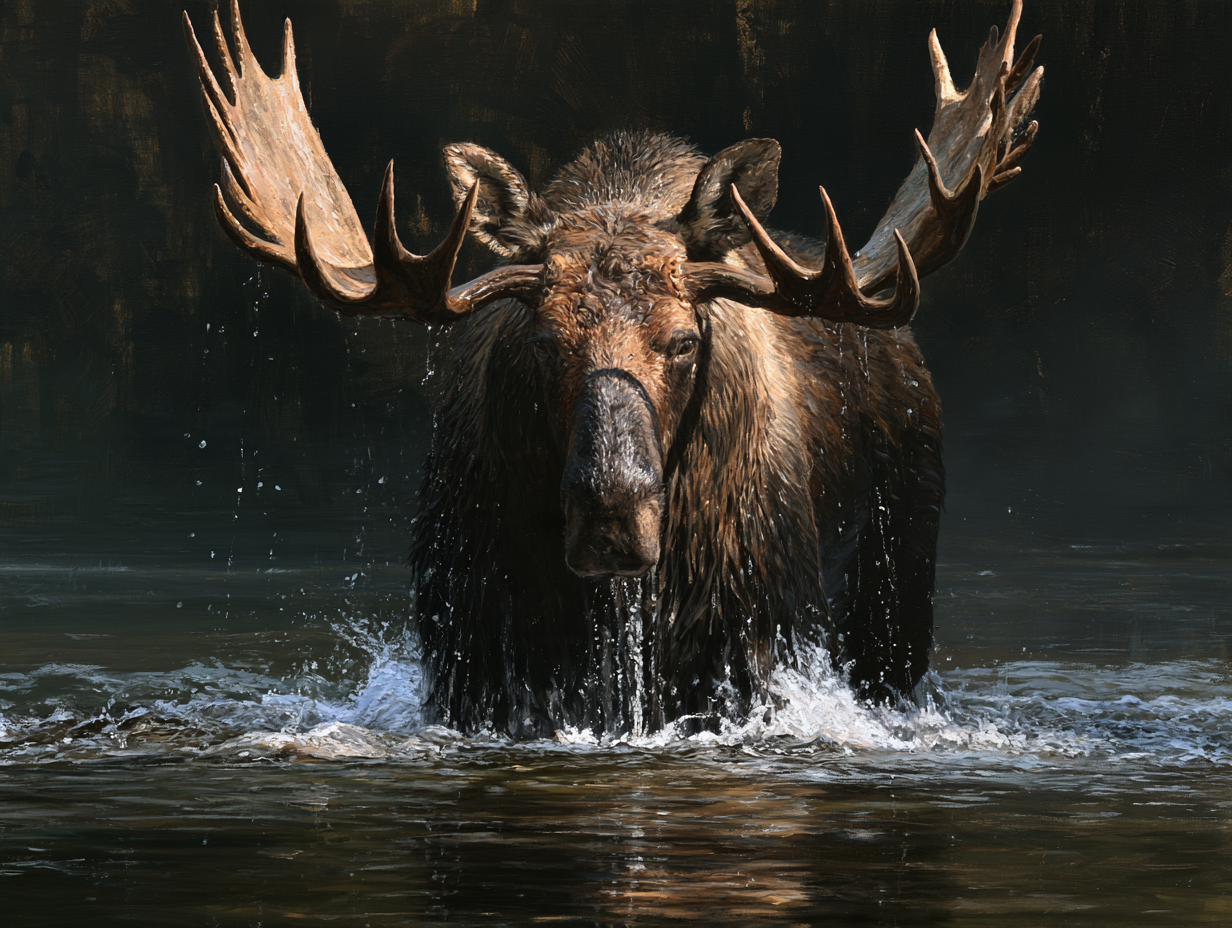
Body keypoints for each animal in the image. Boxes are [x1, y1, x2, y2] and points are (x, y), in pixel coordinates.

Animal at [185, 1, 1043, 738]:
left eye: (686, 340)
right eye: (541, 341)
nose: (614, 515)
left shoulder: (762, 636)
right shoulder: (473, 650)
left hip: (895, 603)